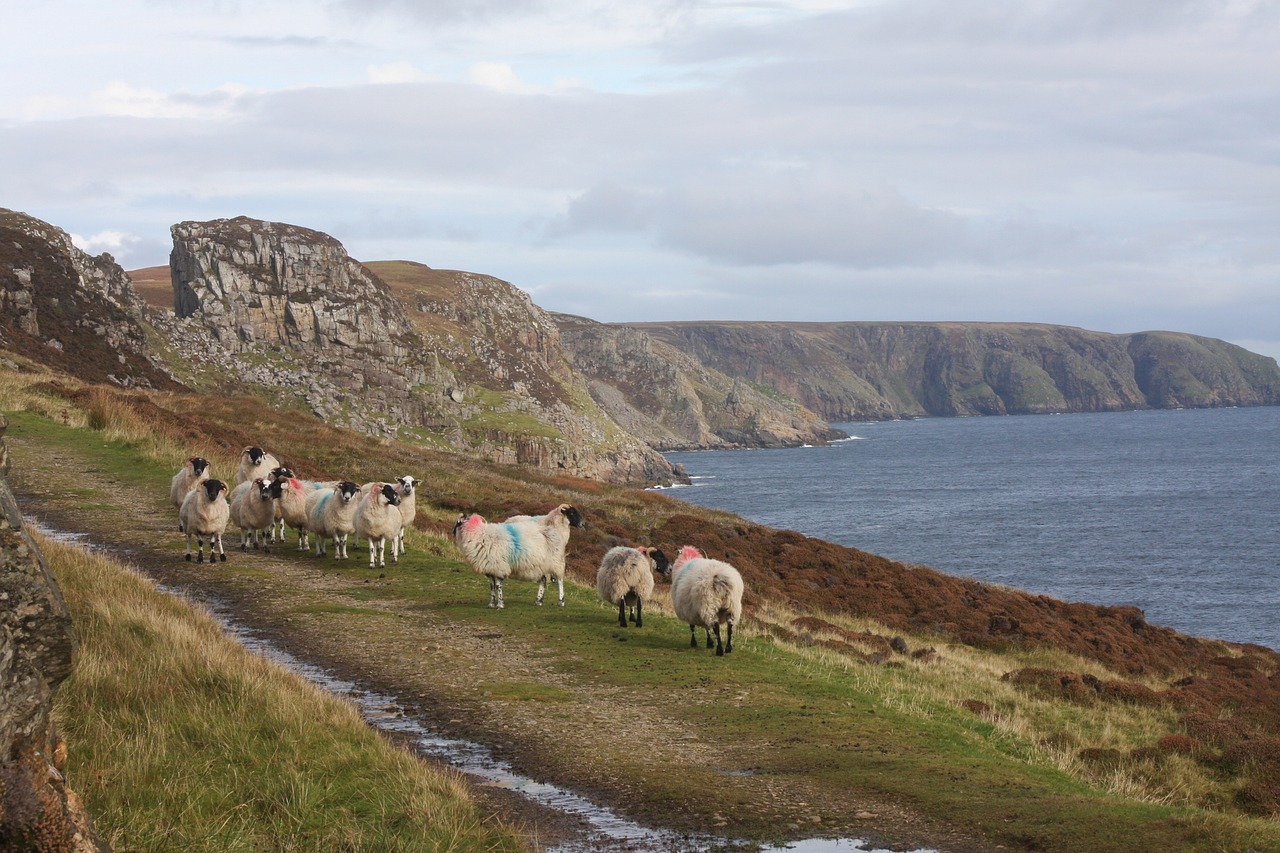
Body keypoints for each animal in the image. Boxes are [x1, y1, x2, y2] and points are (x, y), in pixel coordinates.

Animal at [453, 502, 586, 607]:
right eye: (572, 512)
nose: (583, 524)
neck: (480, 534)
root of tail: (553, 530)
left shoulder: (499, 565)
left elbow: (498, 585)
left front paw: (500, 604)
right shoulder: (490, 567)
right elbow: (491, 585)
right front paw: (491, 603)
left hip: (555, 561)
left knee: (559, 580)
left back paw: (561, 601)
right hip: (539, 564)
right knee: (543, 580)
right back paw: (539, 601)